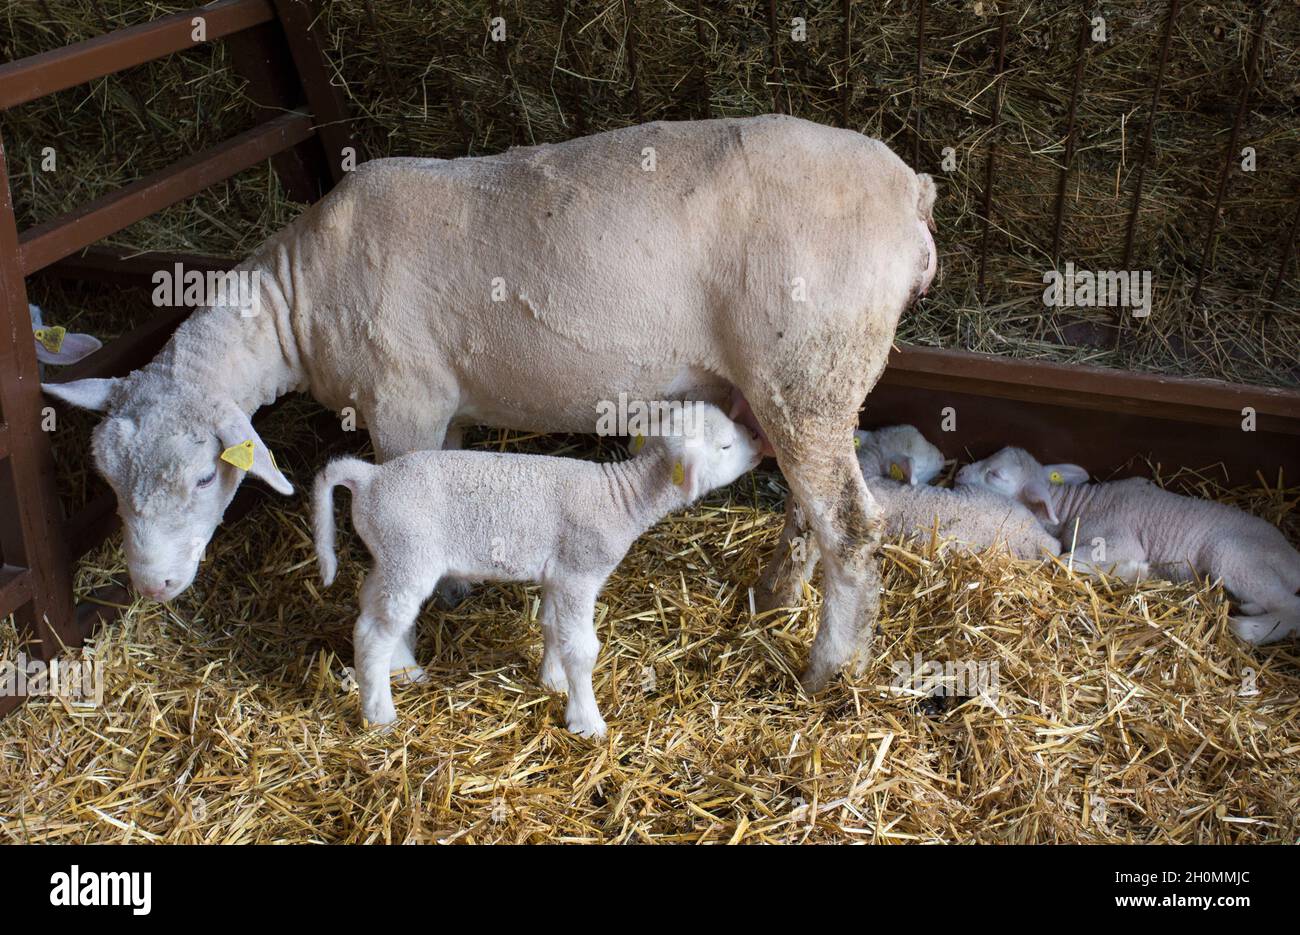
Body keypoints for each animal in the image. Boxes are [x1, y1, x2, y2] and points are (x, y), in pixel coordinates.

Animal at [41, 115, 937, 691]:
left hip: (809, 363)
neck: (301, 296)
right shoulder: (452, 406)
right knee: (807, 508)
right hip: (802, 384)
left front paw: (418, 624)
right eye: (109, 482)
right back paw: (774, 596)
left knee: (851, 524)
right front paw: (455, 587)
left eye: (203, 478)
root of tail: (912, 192)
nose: (151, 586)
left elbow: (407, 489)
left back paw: (827, 666)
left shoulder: (403, 398)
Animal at [312, 403, 762, 734]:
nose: (759, 441)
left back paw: (404, 670)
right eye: (725, 446)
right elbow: (583, 650)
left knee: (371, 605)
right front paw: (587, 721)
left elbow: (550, 625)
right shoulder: (580, 573)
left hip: (390, 555)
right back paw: (380, 716)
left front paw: (553, 680)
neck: (622, 497)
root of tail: (370, 477)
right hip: (409, 554)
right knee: (373, 632)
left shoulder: (558, 575)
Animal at [956, 447, 1300, 645]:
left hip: (1234, 557)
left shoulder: (1117, 541)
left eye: (994, 474)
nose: (958, 473)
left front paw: (1136, 571)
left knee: (1290, 606)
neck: (1079, 505)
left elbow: (1063, 561)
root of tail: (1293, 557)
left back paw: (1250, 630)